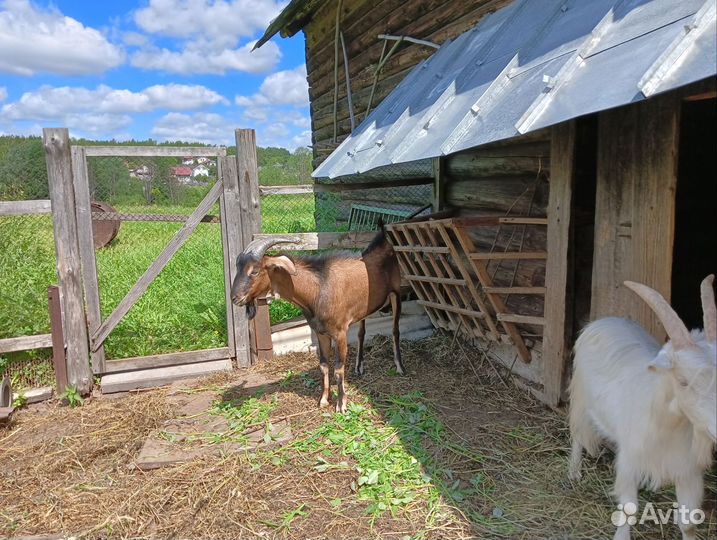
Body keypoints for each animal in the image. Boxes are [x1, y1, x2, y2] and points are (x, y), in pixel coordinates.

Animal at [232, 229, 406, 414]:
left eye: (254, 271)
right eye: (238, 268)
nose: (234, 298)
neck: (318, 290)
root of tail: (384, 241)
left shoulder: (340, 333)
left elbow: (338, 369)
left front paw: (341, 404)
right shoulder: (320, 332)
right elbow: (323, 366)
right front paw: (323, 400)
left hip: (396, 293)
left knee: (395, 330)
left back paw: (399, 367)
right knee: (361, 332)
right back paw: (359, 367)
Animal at [568, 274, 712, 540]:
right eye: (682, 380)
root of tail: (605, 320)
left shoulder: (688, 470)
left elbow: (688, 522)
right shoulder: (629, 461)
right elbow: (629, 509)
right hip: (581, 397)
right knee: (578, 433)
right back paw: (574, 472)